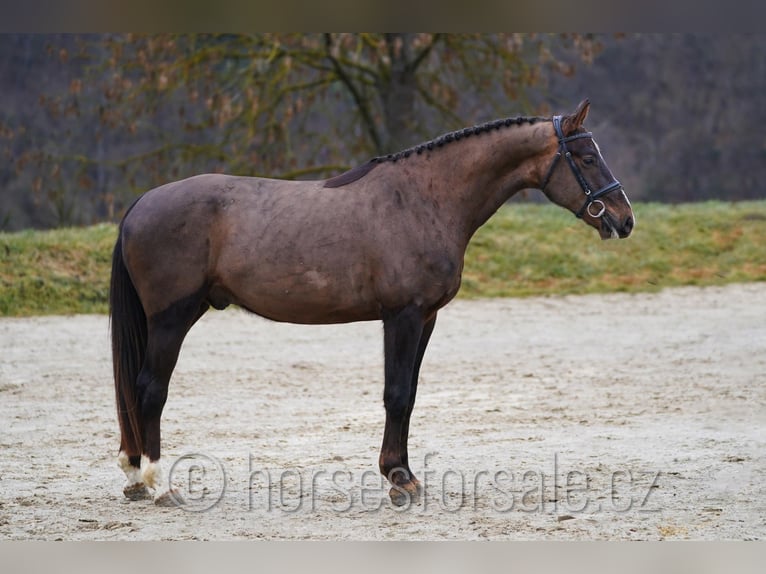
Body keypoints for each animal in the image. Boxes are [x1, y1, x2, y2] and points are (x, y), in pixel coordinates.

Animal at [110, 99, 634, 506]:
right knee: (150, 389)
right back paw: (160, 484)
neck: (424, 198)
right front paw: (398, 481)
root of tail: (141, 203)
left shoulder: (426, 318)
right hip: (172, 318)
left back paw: (135, 478)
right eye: (586, 157)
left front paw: (406, 476)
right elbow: (396, 394)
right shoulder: (402, 316)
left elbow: (411, 394)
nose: (624, 219)